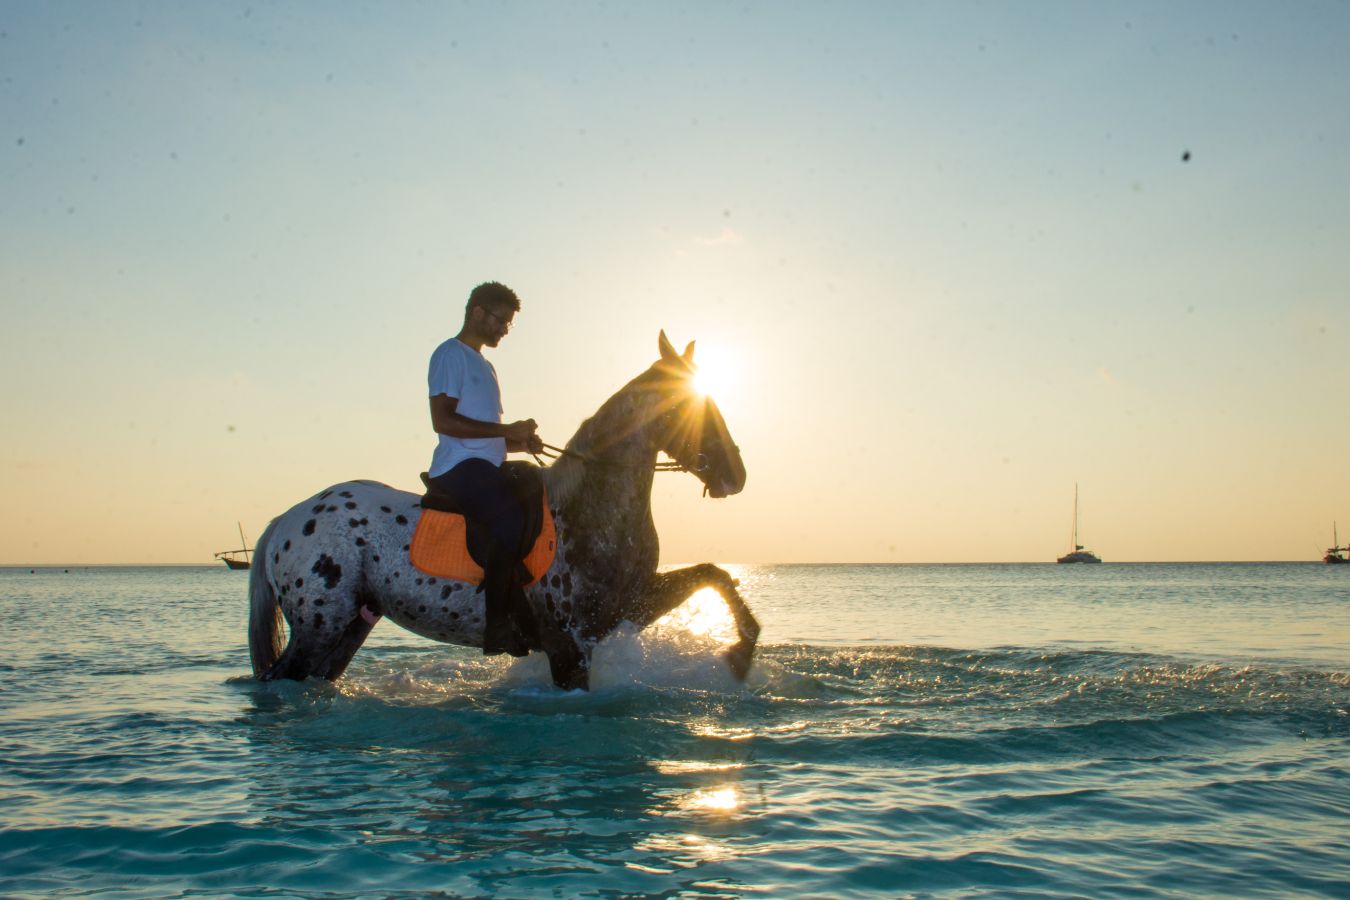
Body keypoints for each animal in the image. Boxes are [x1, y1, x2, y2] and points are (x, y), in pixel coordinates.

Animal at [249, 332, 758, 691]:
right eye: (688, 405)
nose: (734, 475)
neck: (590, 509)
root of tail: (286, 520)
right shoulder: (569, 648)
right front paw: (737, 654)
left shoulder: (629, 607)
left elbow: (714, 574)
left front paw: (740, 654)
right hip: (319, 627)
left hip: (350, 626)